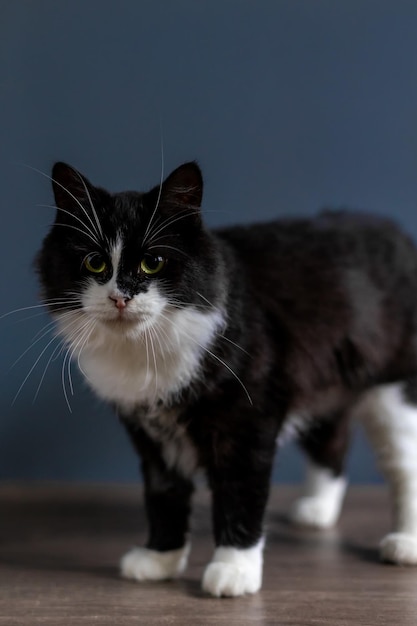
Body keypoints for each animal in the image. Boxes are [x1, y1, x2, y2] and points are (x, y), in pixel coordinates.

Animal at [36, 160, 417, 596]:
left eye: (153, 262)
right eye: (95, 263)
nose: (120, 297)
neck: (145, 350)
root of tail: (396, 232)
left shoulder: (246, 423)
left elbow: (239, 494)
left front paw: (233, 570)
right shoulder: (150, 435)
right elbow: (163, 495)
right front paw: (160, 558)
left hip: (394, 391)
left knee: (404, 464)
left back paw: (404, 543)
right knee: (332, 440)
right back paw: (316, 510)